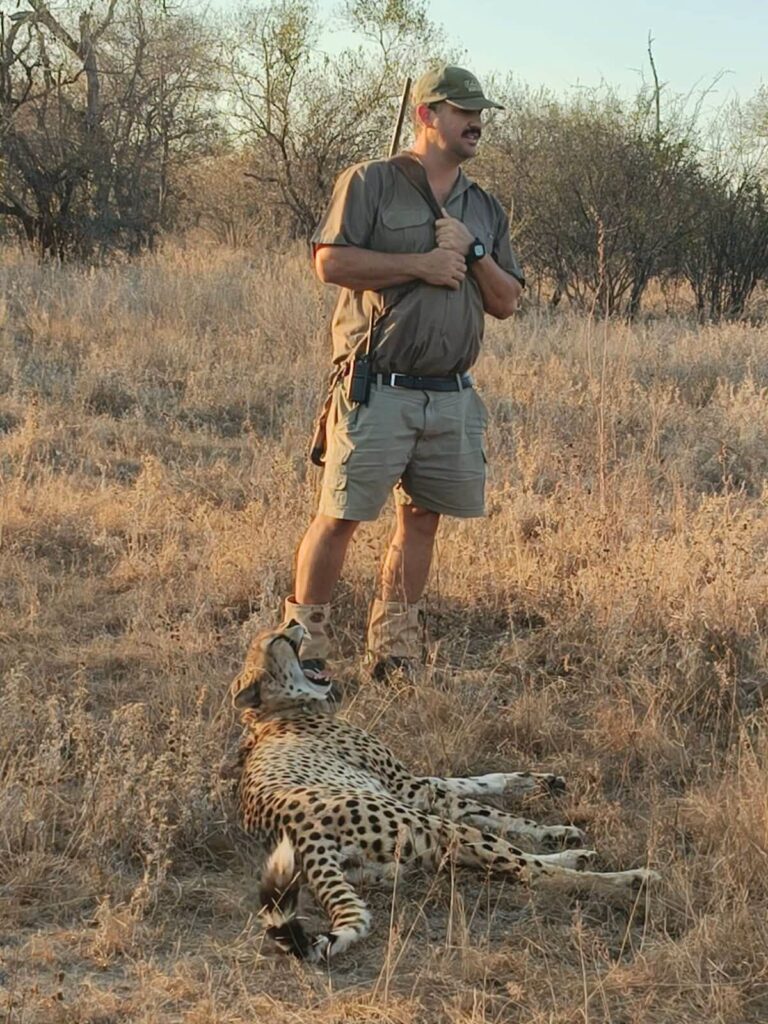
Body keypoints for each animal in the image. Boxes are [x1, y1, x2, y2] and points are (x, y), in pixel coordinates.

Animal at [231, 620, 659, 963]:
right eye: (279, 640)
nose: (294, 622)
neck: (275, 712)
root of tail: (298, 833)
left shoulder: (417, 786)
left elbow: (481, 781)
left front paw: (543, 783)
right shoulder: (412, 791)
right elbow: (493, 811)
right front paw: (552, 827)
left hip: (407, 859)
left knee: (502, 863)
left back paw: (579, 857)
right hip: (431, 827)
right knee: (529, 870)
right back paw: (627, 877)